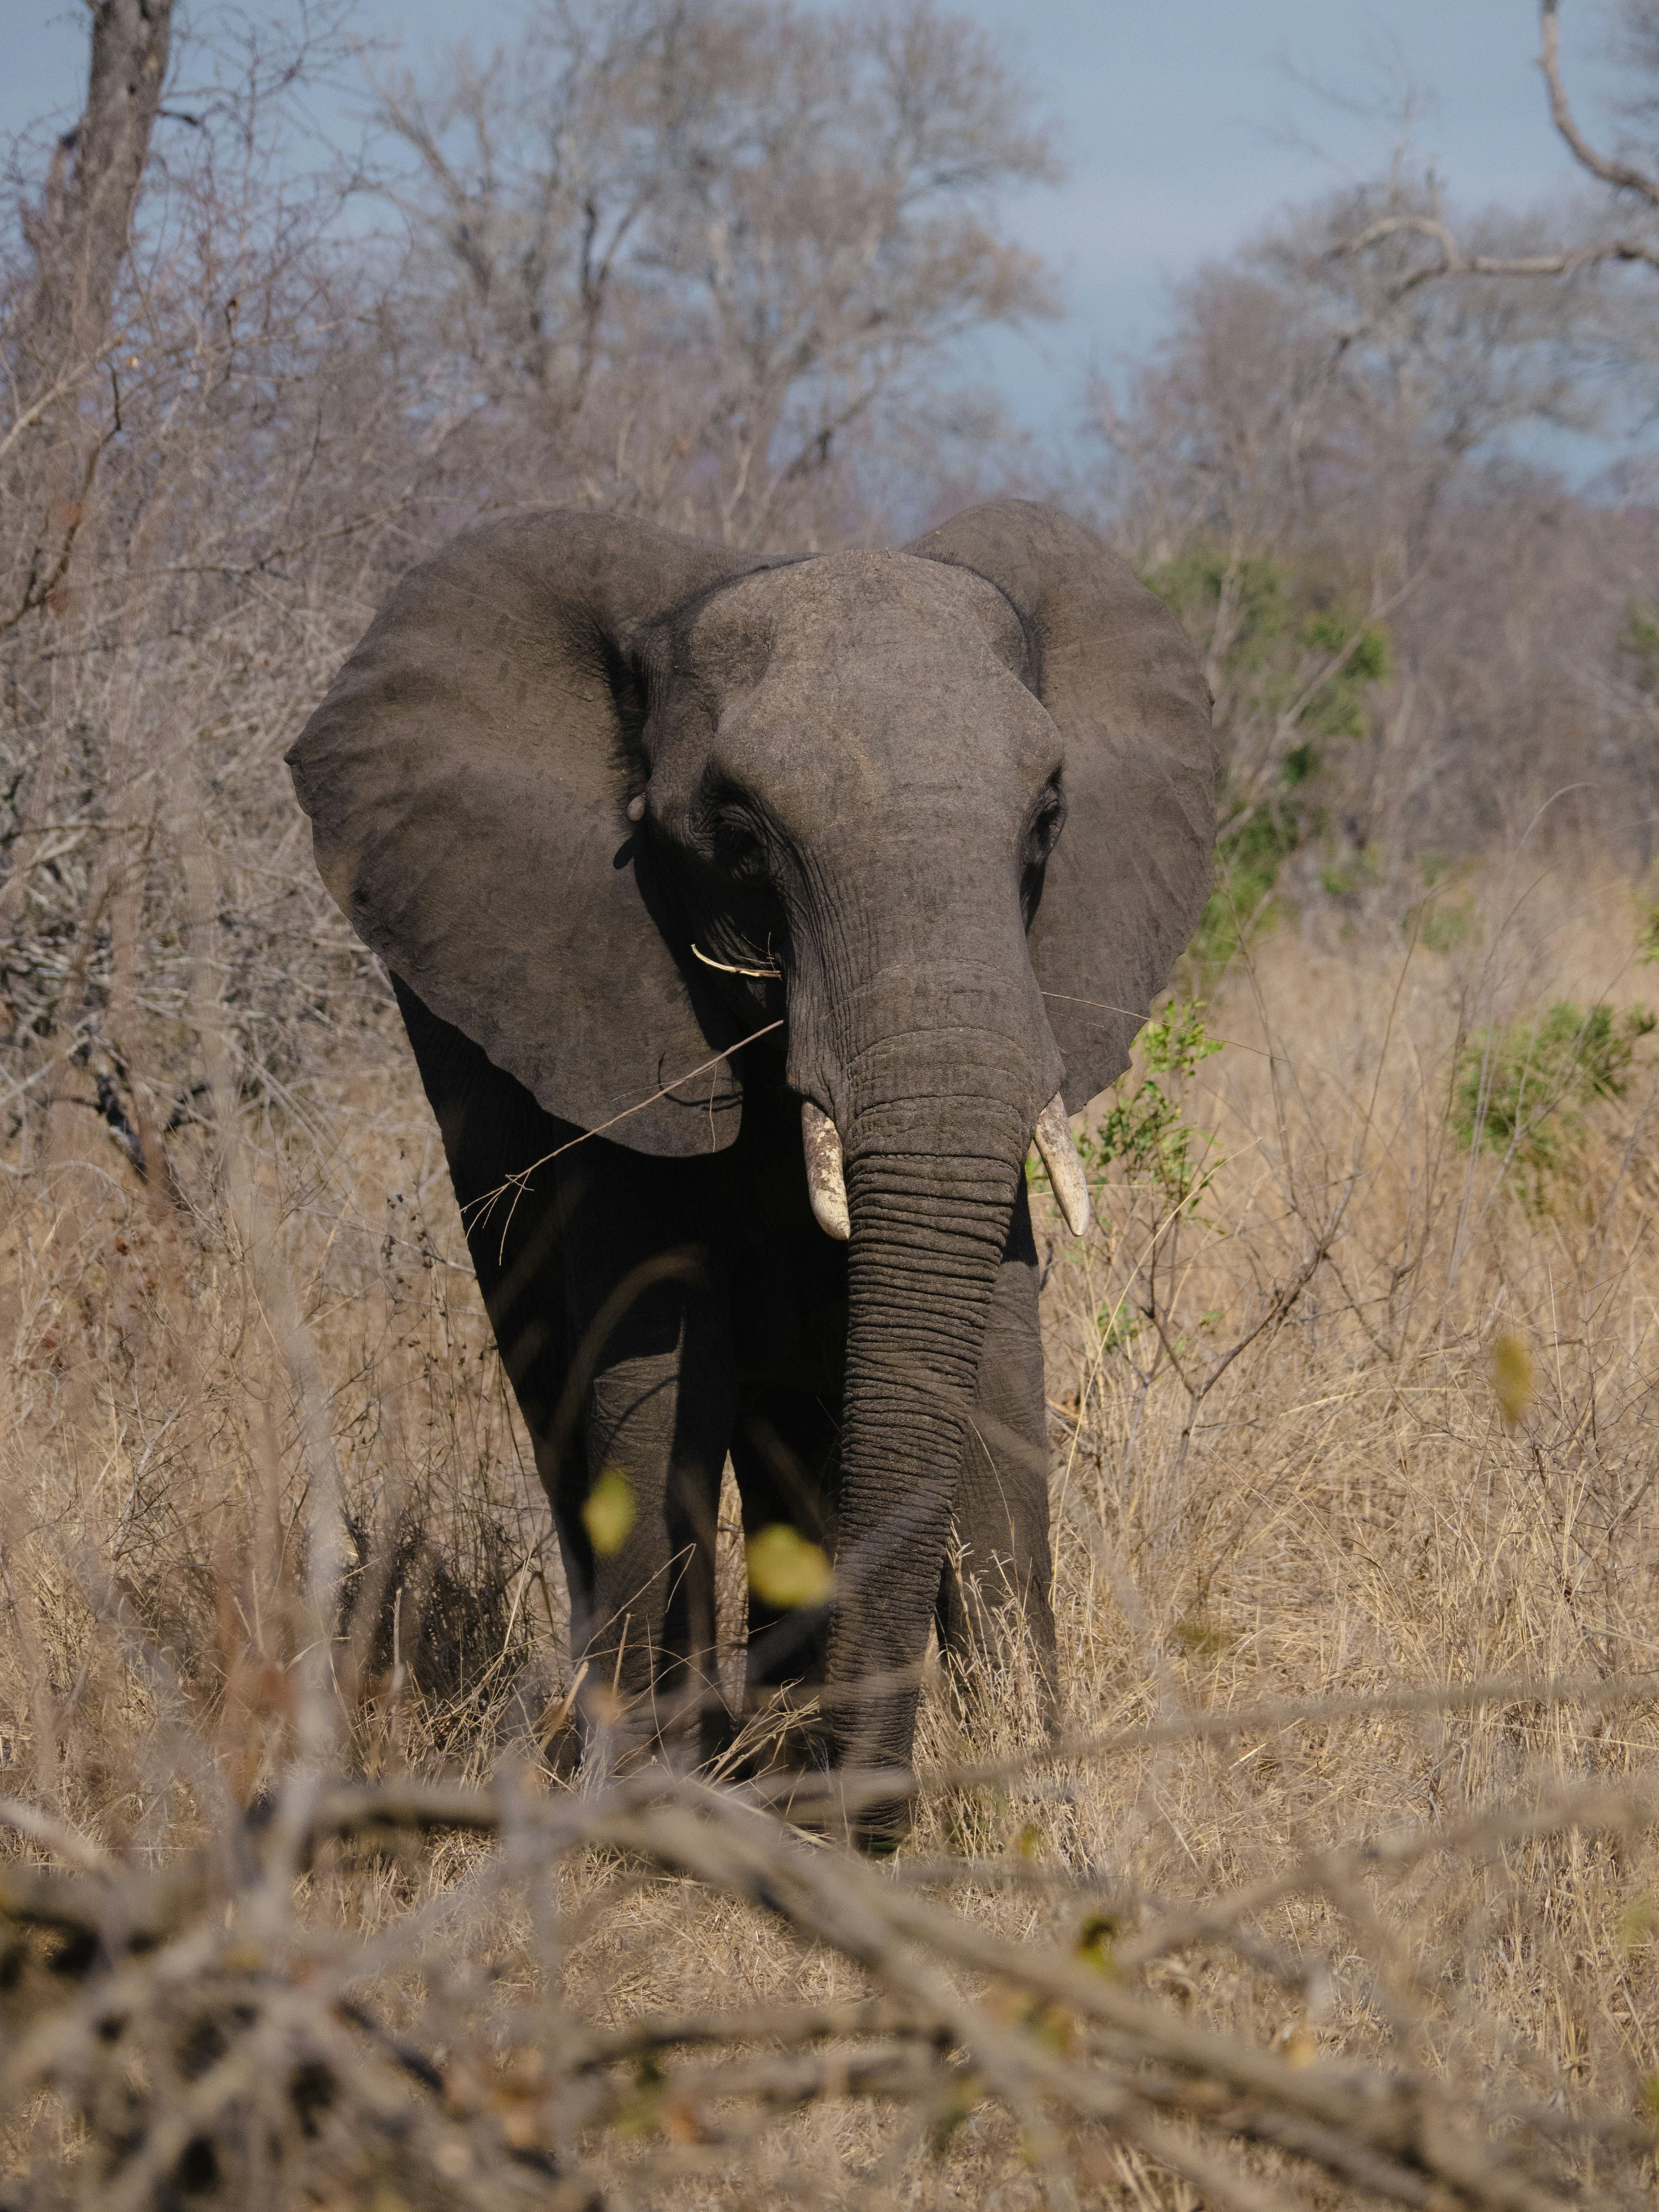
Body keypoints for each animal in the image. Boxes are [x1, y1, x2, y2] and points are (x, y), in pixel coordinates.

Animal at [286, 498, 1214, 1836]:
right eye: (738, 831)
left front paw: (1034, 1798)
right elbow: (657, 1370)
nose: (849, 1806)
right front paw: (654, 1805)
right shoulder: (618, 1013)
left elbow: (997, 1360)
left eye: (1046, 816)